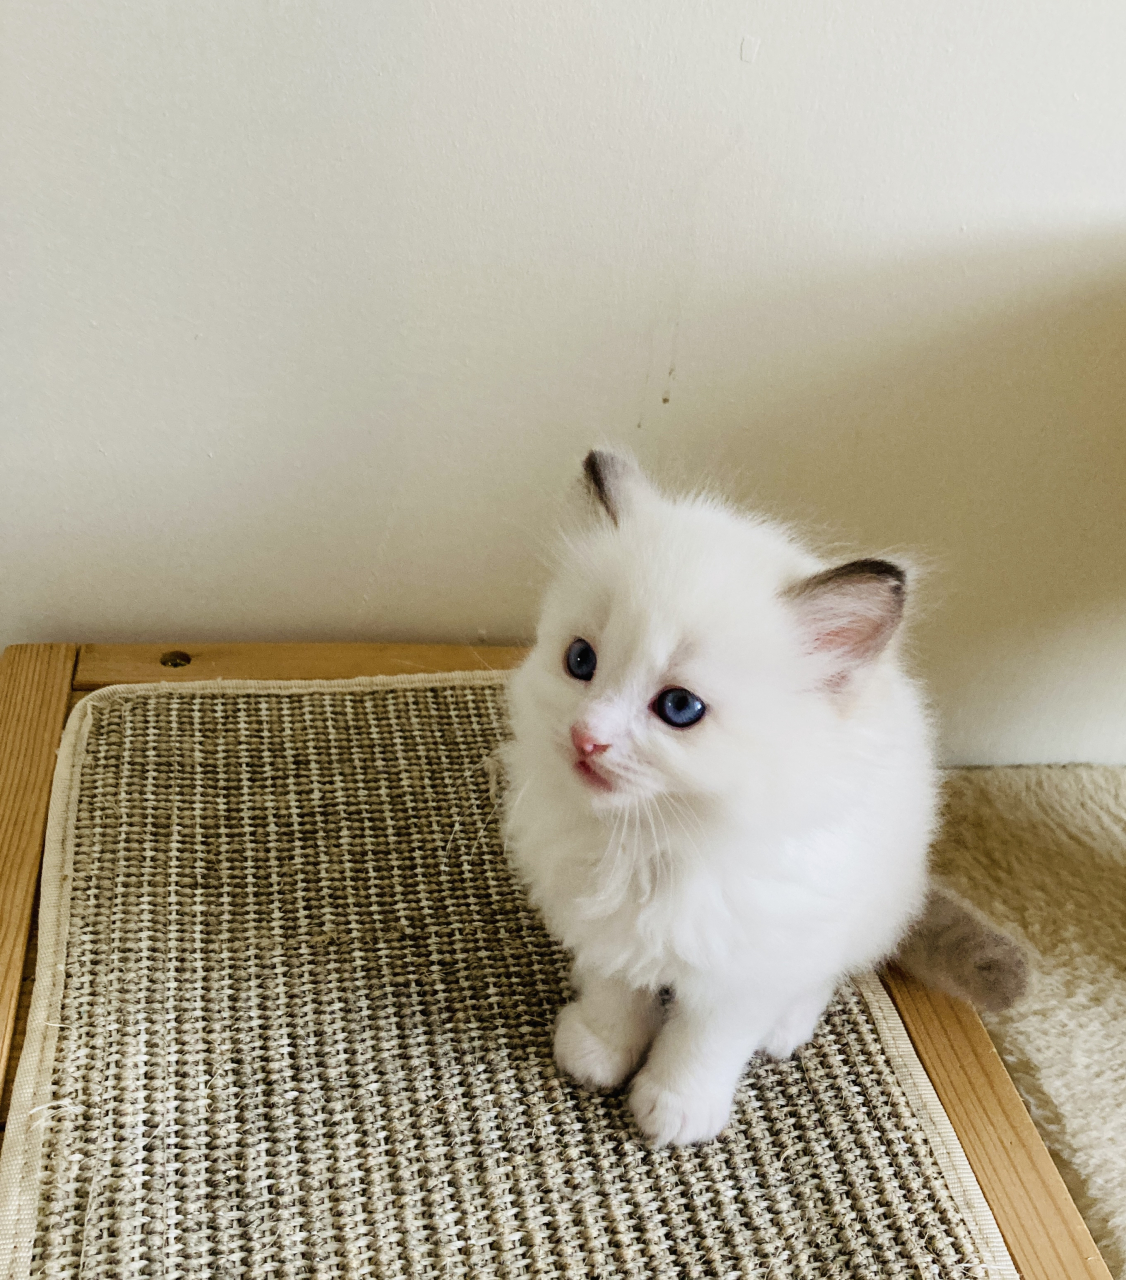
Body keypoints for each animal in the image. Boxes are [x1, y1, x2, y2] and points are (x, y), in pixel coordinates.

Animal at [502, 450, 1022, 1148]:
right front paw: (599, 1050)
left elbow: (702, 1045)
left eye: (679, 707)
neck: (653, 844)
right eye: (580, 661)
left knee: (825, 973)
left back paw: (786, 1027)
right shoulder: (609, 928)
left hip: (861, 908)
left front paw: (676, 1109)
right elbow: (617, 994)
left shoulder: (747, 968)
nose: (586, 738)